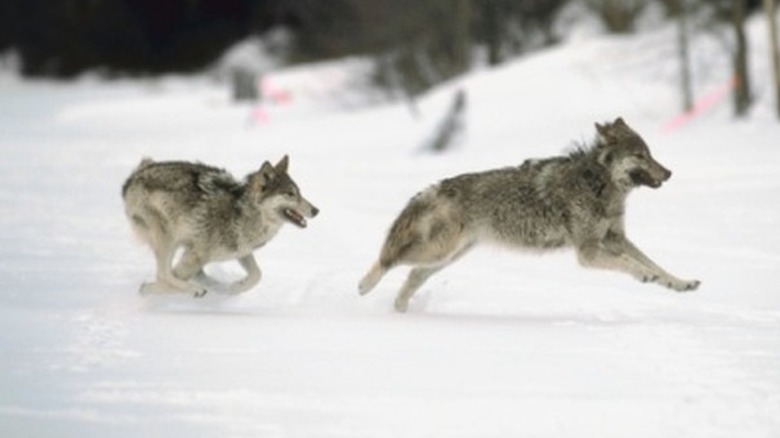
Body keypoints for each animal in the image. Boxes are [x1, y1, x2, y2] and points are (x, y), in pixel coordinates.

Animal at [122, 155, 318, 297]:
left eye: (299, 193)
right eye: (290, 194)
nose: (316, 210)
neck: (241, 212)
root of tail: (134, 176)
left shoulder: (241, 250)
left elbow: (257, 275)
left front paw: (234, 288)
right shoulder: (195, 255)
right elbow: (167, 278)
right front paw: (148, 290)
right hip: (167, 237)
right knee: (163, 274)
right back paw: (195, 289)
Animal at [359, 117, 700, 312]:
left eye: (651, 153)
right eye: (640, 155)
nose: (669, 173)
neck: (598, 185)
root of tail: (436, 187)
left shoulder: (616, 238)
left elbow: (656, 264)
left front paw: (680, 283)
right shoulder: (588, 252)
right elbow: (631, 264)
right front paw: (645, 275)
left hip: (446, 257)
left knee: (413, 274)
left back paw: (401, 310)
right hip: (438, 252)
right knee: (388, 260)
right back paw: (366, 287)